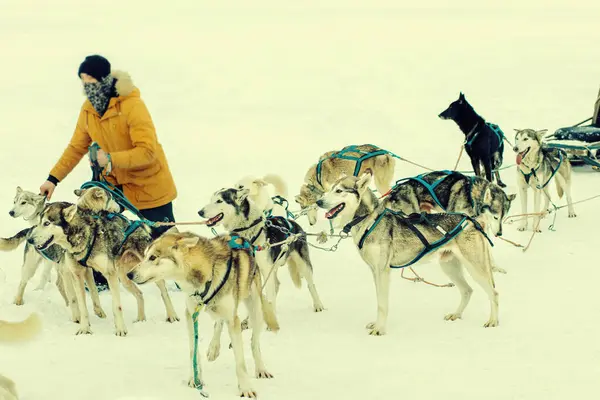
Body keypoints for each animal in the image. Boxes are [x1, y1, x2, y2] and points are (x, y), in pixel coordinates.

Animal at [28, 198, 178, 338]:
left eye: (47, 223)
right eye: (38, 222)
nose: (30, 240)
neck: (84, 236)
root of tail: (138, 224)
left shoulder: (109, 274)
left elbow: (117, 306)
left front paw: (120, 330)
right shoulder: (78, 274)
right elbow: (82, 305)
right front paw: (84, 329)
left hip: (146, 271)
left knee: (164, 291)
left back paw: (172, 315)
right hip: (125, 278)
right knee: (139, 294)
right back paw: (141, 319)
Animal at [127, 230, 280, 398]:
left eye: (153, 257)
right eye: (145, 255)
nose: (129, 274)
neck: (207, 274)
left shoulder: (232, 320)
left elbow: (240, 362)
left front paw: (245, 388)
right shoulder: (190, 314)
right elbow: (193, 350)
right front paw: (194, 378)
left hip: (255, 309)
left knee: (254, 343)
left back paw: (261, 369)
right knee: (218, 323)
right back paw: (214, 348)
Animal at [199, 188, 326, 316]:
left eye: (219, 201)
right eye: (211, 199)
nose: (200, 212)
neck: (248, 231)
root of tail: (293, 224)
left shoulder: (265, 269)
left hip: (303, 264)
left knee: (310, 285)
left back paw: (318, 304)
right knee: (276, 285)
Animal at [316, 172, 500, 334]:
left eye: (339, 190)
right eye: (330, 188)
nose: (318, 201)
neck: (368, 221)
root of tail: (473, 220)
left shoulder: (382, 272)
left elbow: (382, 304)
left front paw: (379, 330)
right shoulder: (374, 272)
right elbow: (378, 300)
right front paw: (376, 324)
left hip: (475, 267)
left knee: (494, 293)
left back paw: (493, 321)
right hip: (449, 267)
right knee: (467, 291)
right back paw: (456, 314)